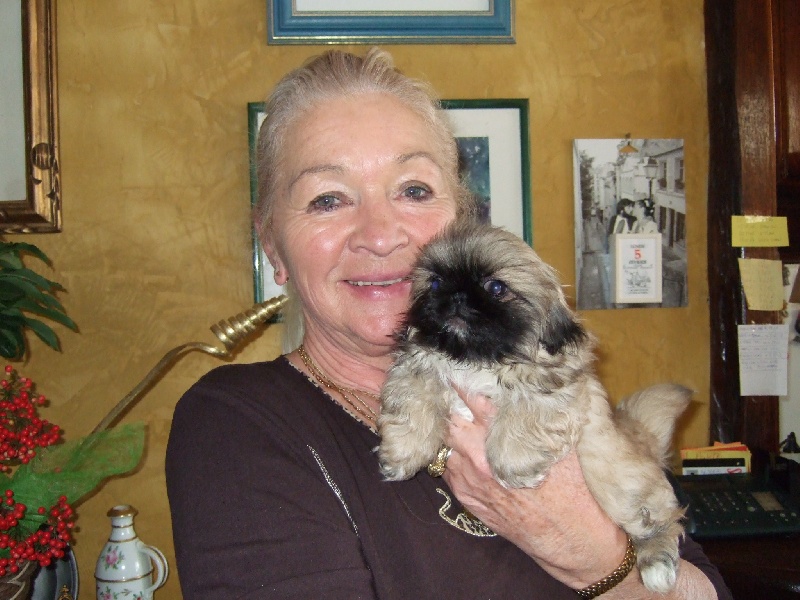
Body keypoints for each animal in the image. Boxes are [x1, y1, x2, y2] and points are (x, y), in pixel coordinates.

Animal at [377, 221, 689, 593]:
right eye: (436, 283)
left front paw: (515, 465)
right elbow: (412, 402)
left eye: (496, 287)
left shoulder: (548, 387)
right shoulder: (417, 366)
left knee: (663, 519)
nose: (455, 296)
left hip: (626, 490)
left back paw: (657, 565)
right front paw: (402, 453)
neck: (475, 358)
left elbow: (522, 418)